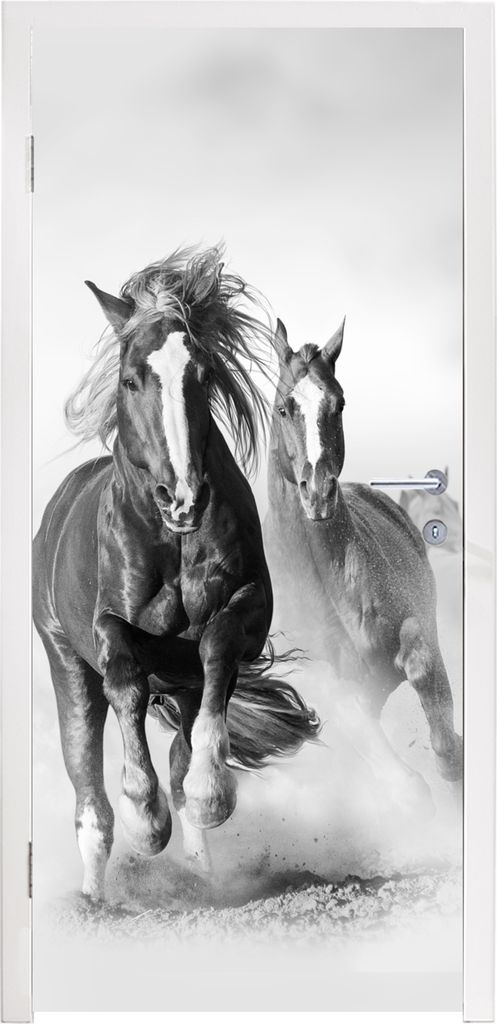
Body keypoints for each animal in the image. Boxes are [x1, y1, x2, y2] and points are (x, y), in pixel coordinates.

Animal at [33, 247, 319, 900]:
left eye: (204, 376)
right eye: (130, 378)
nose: (182, 498)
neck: (173, 541)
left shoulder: (246, 610)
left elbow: (216, 648)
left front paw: (212, 795)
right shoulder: (108, 627)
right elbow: (126, 680)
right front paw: (146, 819)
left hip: (182, 688)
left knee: (183, 750)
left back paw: (201, 869)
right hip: (64, 662)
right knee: (89, 791)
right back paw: (96, 898)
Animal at [264, 318, 462, 810]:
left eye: (338, 403)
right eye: (284, 407)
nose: (318, 493)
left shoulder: (416, 630)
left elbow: (424, 671)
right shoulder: (330, 691)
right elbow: (401, 780)